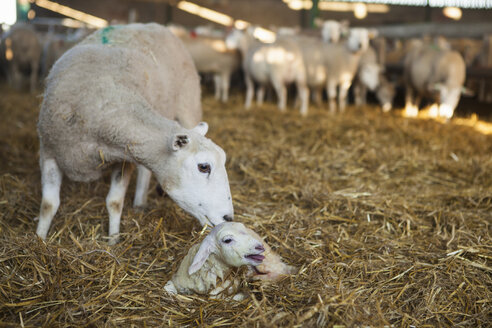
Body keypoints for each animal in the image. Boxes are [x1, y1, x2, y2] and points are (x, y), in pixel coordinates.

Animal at [35, 23, 234, 243]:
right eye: (204, 167)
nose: (229, 218)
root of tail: (158, 26)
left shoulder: (124, 159)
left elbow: (114, 202)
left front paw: (113, 240)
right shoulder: (48, 151)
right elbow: (48, 204)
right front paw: (39, 238)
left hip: (188, 105)